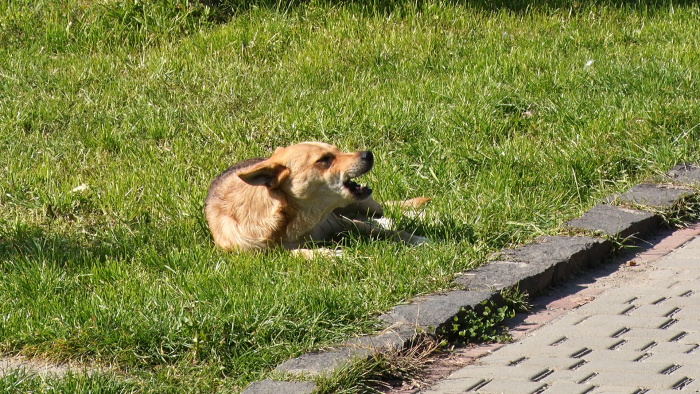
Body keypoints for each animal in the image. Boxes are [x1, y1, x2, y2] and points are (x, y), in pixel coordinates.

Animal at [205, 141, 430, 255]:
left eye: (338, 150)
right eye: (324, 160)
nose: (368, 154)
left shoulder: (341, 222)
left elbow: (388, 231)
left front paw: (415, 238)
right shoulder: (263, 255)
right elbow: (297, 253)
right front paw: (327, 254)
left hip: (365, 204)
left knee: (385, 211)